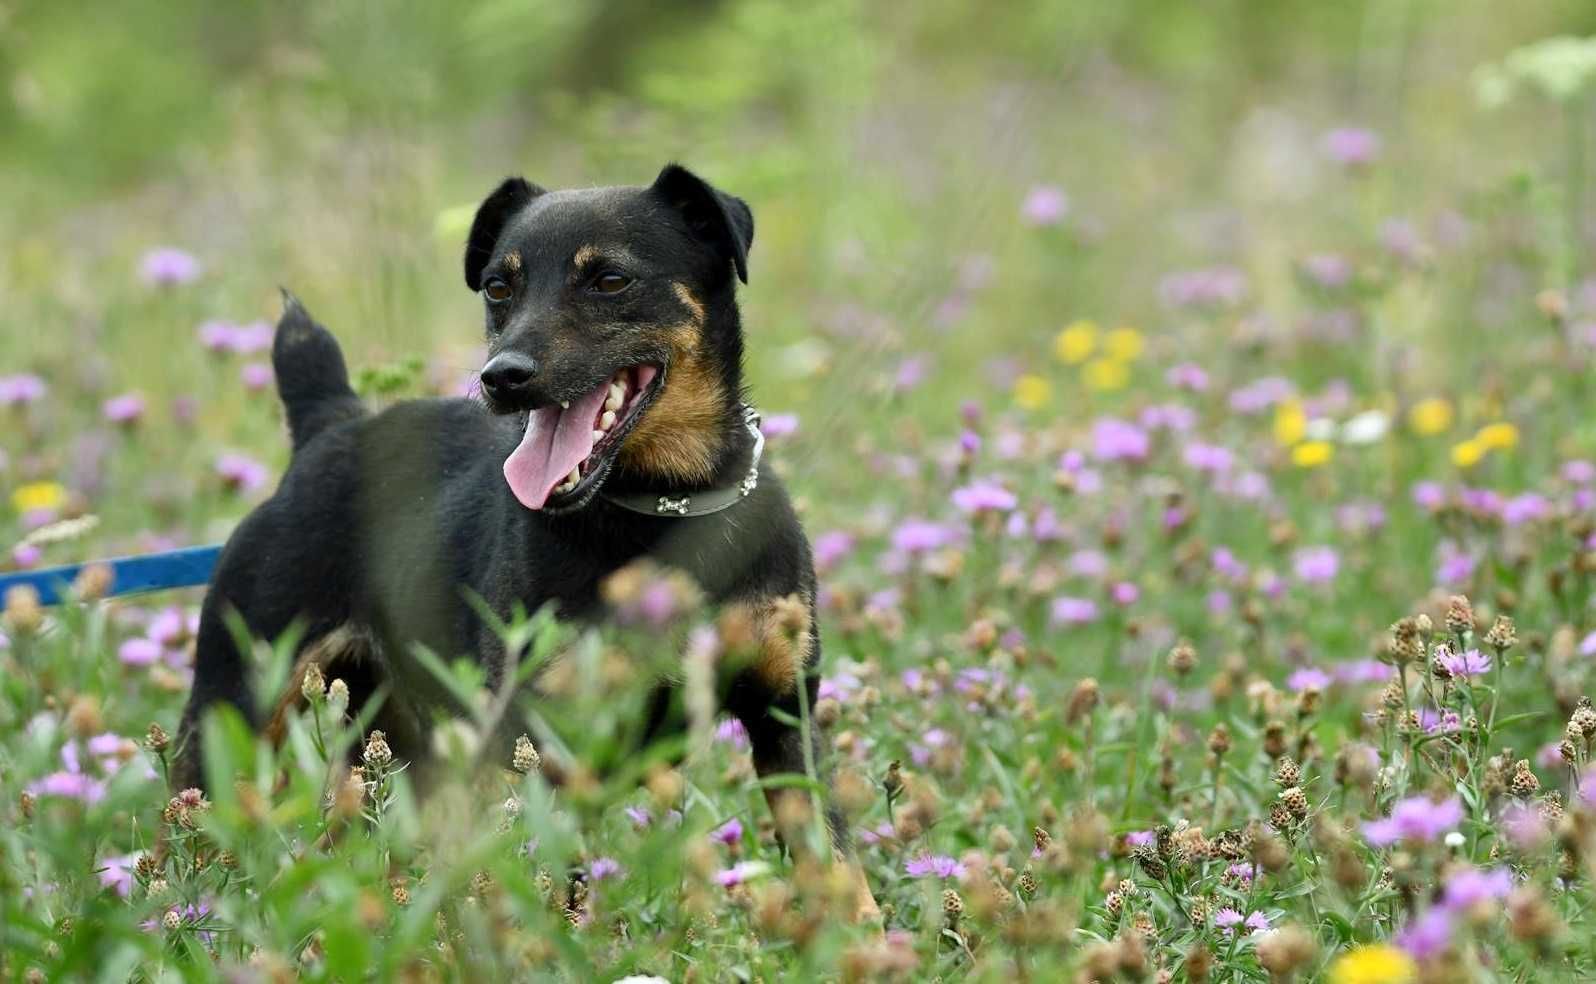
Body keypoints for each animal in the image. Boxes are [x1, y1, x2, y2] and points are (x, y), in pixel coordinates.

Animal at [174, 161, 887, 918]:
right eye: (497, 287)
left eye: (611, 280)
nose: (502, 378)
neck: (664, 507)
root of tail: (329, 424)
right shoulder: (538, 740)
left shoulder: (786, 717)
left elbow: (838, 868)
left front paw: (861, 935)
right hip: (234, 710)